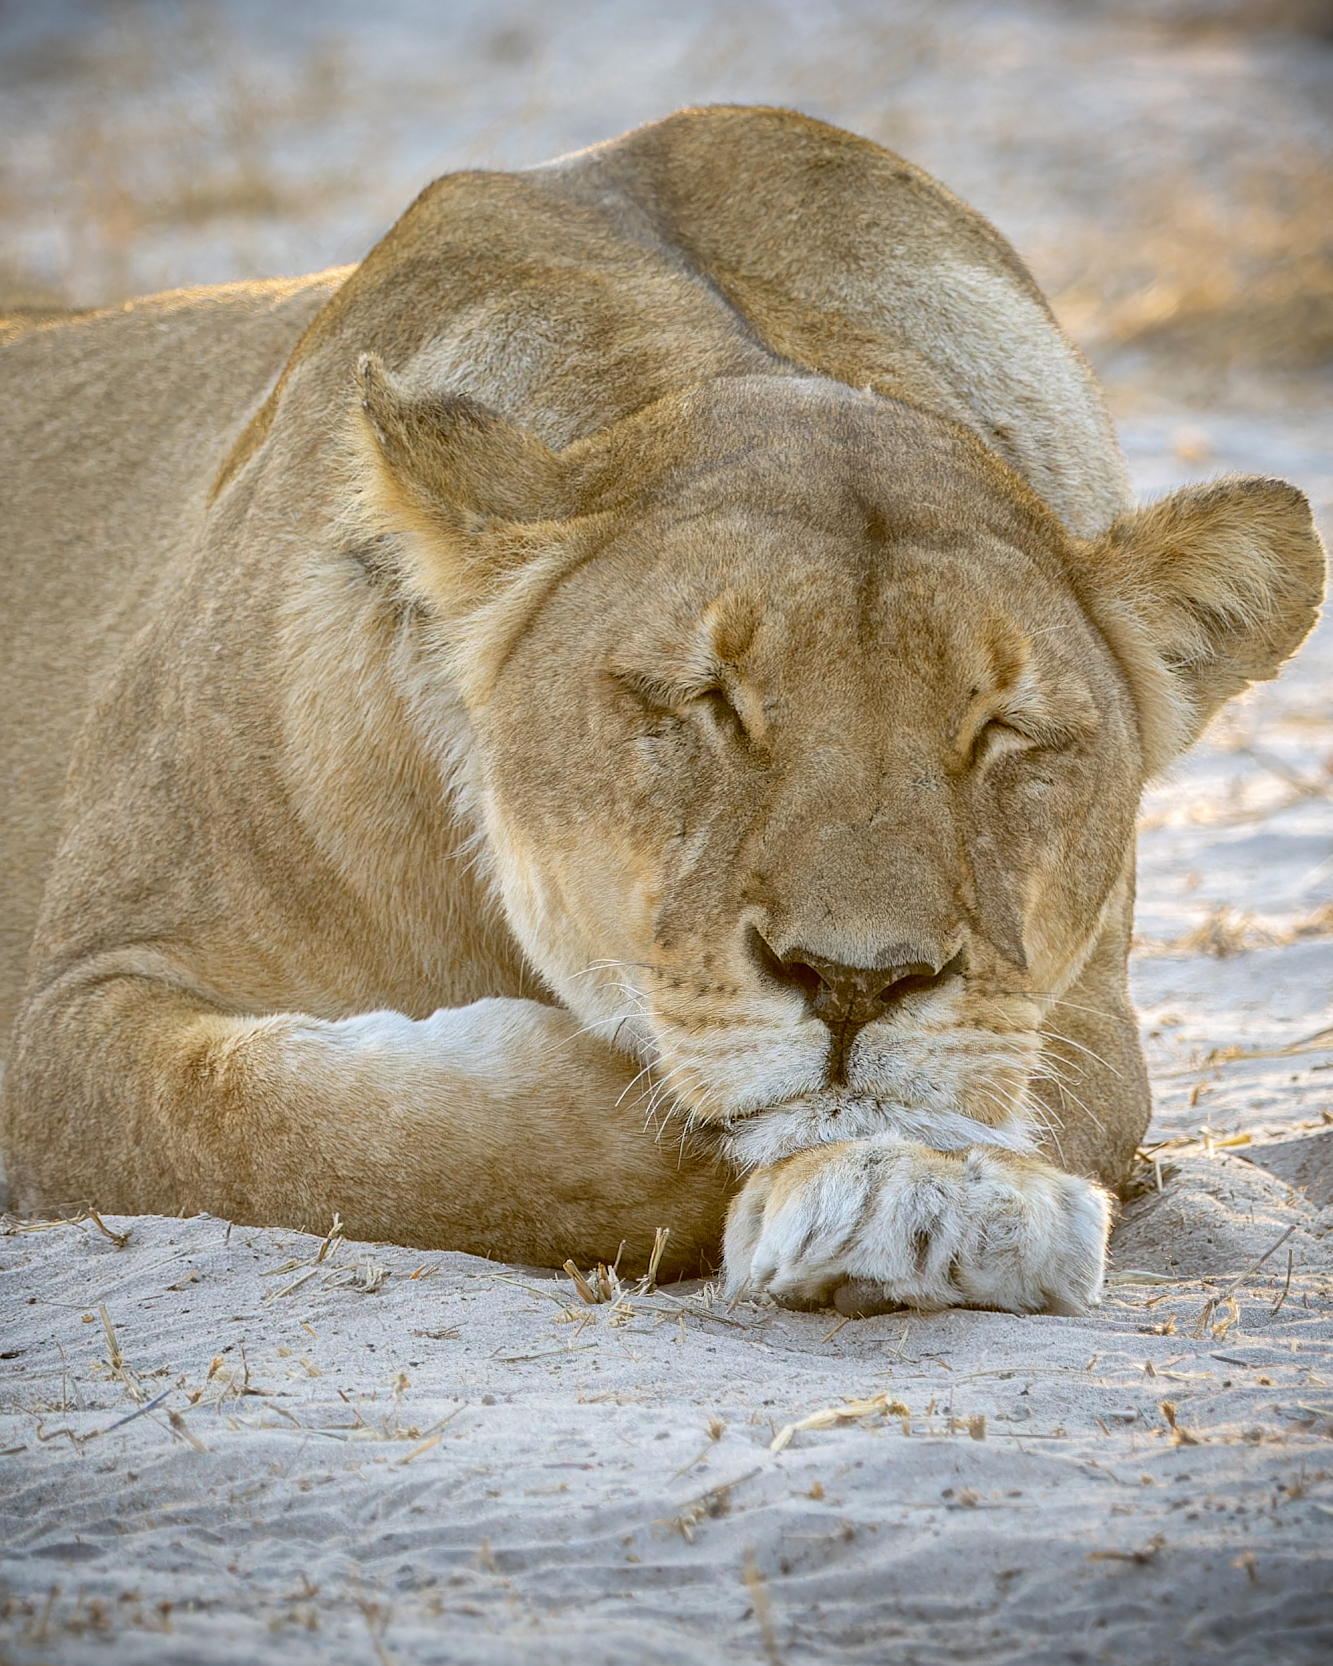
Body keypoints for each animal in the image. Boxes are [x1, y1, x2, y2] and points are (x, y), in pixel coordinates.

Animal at [0, 107, 1324, 1314]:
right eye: (707, 704)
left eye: (1001, 731)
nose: (856, 982)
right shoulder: (73, 1013)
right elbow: (365, 1135)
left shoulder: (1087, 1002)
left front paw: (931, 1192)